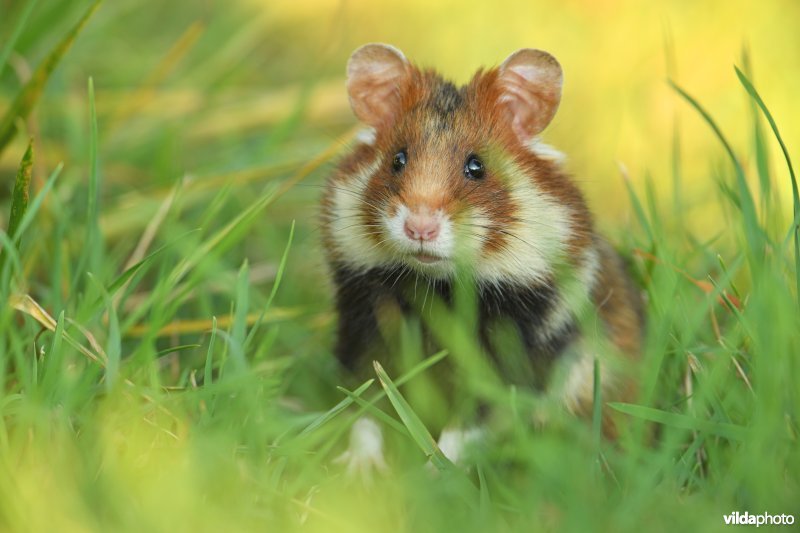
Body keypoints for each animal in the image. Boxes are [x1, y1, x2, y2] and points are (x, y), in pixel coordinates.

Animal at [320, 43, 644, 443]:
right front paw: (356, 460)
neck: (437, 286)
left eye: (476, 167)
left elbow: (466, 426)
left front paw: (436, 460)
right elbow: (366, 406)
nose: (420, 228)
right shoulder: (364, 324)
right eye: (397, 159)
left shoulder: (510, 350)